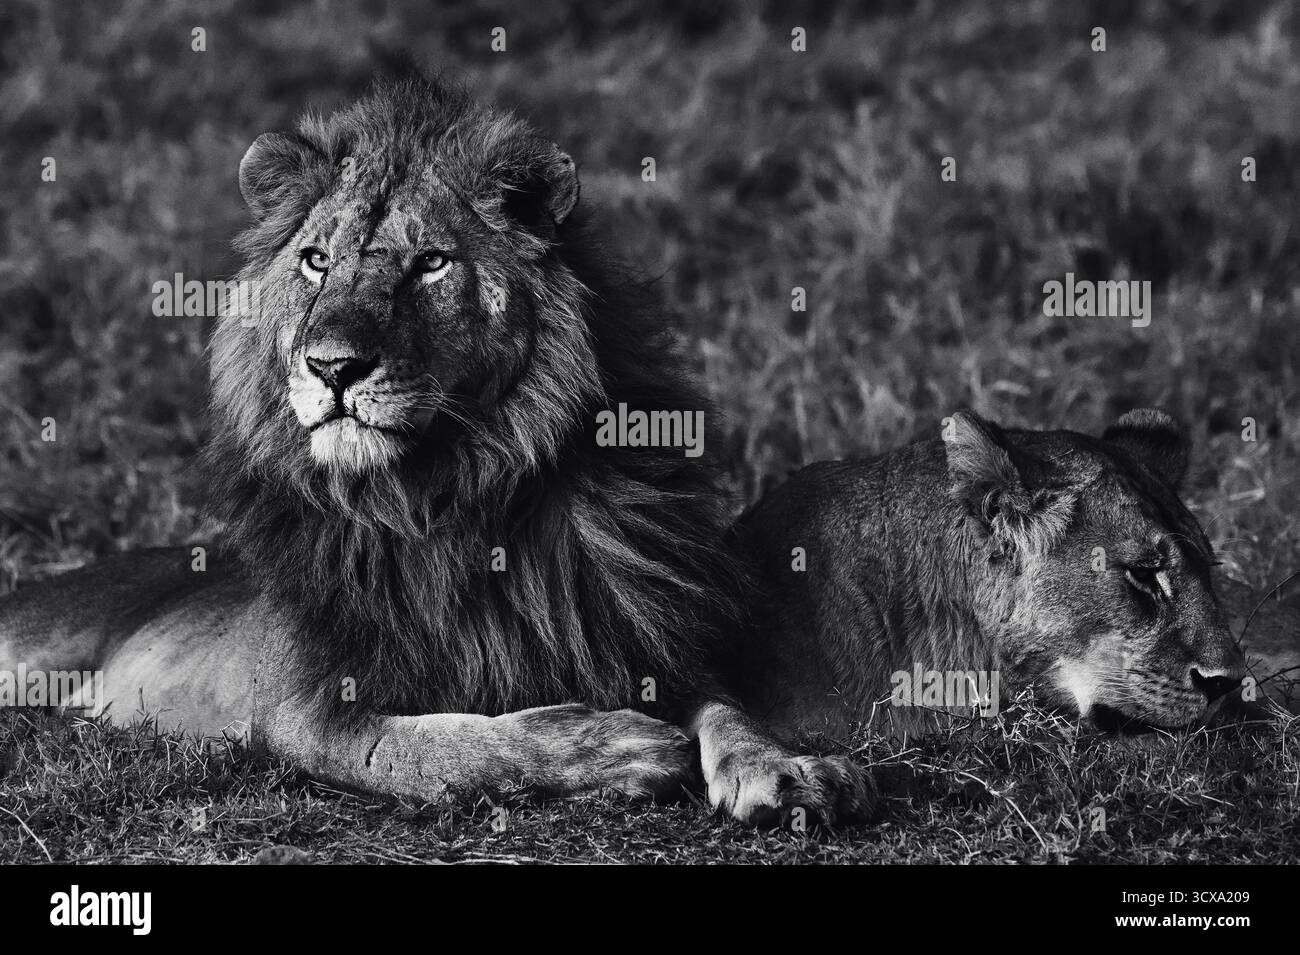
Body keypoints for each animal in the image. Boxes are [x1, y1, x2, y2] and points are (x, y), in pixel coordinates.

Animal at [0, 74, 869, 827]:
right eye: (317, 260)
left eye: (430, 263)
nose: (332, 366)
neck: (447, 490)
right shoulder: (308, 713)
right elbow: (453, 747)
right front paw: (621, 747)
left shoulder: (635, 624)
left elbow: (727, 704)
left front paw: (781, 769)